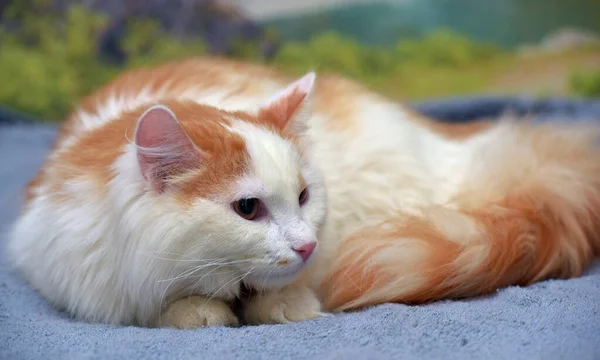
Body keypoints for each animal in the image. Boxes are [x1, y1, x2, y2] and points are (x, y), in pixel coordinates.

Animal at [4, 57, 600, 330]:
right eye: (248, 209)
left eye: (305, 196)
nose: (306, 245)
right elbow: (163, 307)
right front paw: (200, 312)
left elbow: (286, 290)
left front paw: (289, 305)